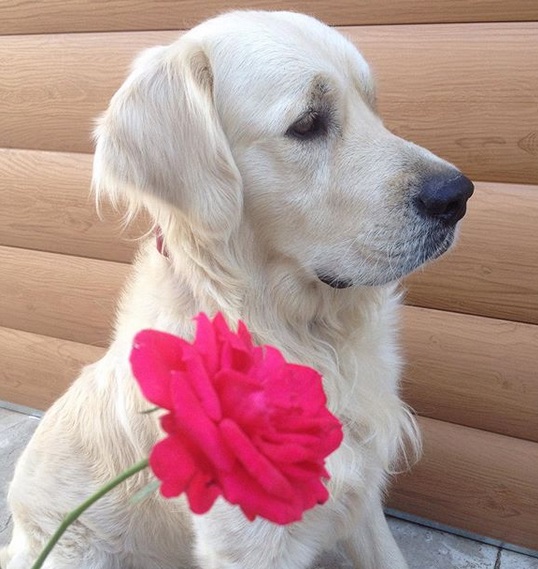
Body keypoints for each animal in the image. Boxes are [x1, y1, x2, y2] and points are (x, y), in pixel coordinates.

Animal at [1, 10, 468, 568]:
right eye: (307, 123)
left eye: (372, 106)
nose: (457, 196)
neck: (302, 334)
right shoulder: (250, 543)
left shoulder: (362, 496)